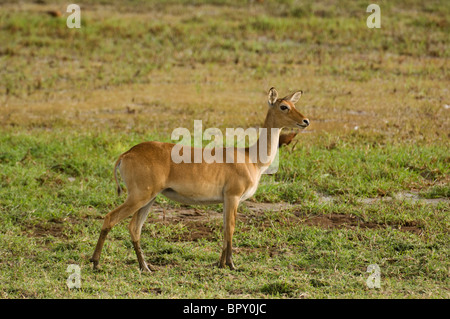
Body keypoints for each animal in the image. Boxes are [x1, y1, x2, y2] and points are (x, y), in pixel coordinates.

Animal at [91, 87, 310, 272]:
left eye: (294, 104)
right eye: (284, 106)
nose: (306, 121)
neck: (252, 158)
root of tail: (127, 154)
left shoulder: (227, 200)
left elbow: (224, 229)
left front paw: (220, 263)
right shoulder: (233, 197)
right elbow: (230, 228)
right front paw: (231, 265)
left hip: (149, 199)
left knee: (134, 228)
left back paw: (145, 267)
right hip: (139, 197)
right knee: (110, 218)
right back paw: (96, 263)